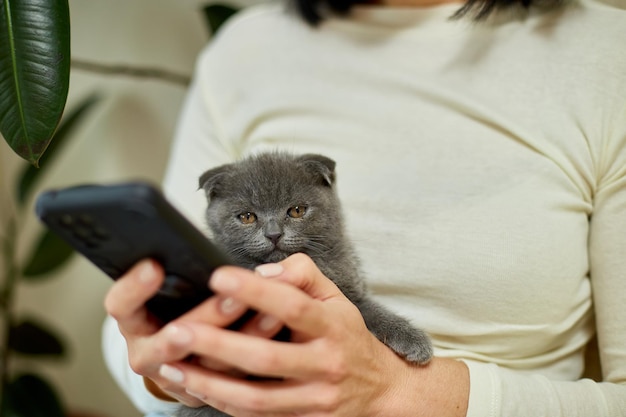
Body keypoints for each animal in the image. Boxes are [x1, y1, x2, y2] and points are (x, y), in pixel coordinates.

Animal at [176, 153, 428, 416]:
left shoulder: (350, 292)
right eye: (247, 217)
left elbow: (370, 309)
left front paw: (413, 339)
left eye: (297, 211)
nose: (273, 234)